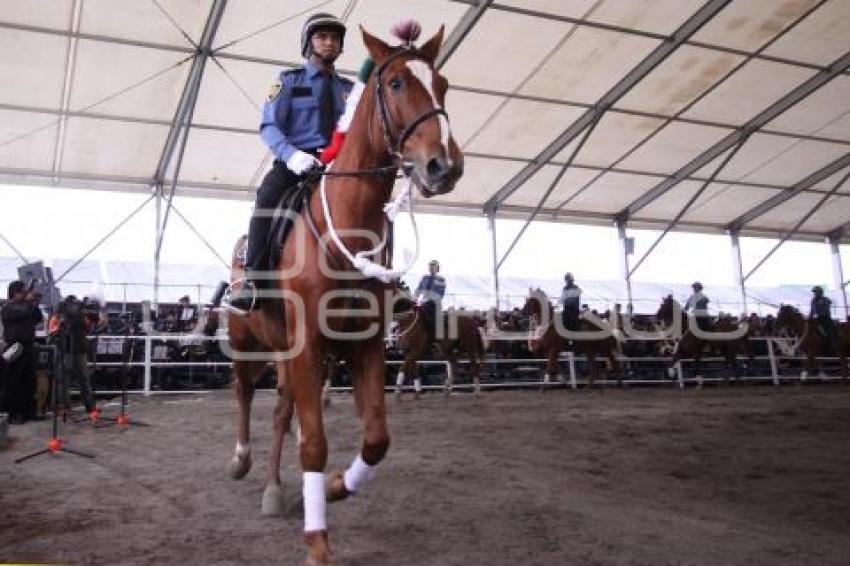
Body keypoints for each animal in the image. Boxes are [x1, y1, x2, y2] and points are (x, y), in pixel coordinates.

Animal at [222, 27, 460, 566]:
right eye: (395, 83)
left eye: (442, 84)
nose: (444, 166)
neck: (347, 227)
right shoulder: (309, 345)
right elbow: (313, 444)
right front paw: (317, 541)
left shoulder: (362, 346)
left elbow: (375, 439)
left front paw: (332, 488)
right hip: (248, 342)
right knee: (244, 393)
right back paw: (242, 460)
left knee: (280, 412)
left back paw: (274, 489)